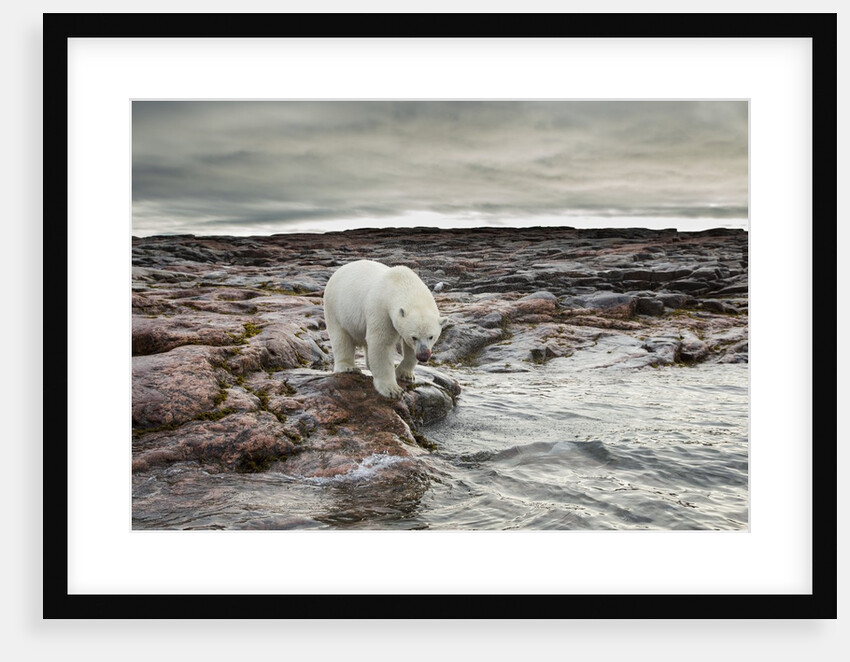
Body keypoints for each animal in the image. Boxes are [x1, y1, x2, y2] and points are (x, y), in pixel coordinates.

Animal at [322, 259, 448, 398]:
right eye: (414, 337)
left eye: (431, 337)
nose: (423, 356)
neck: (401, 283)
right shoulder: (381, 310)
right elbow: (381, 344)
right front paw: (392, 389)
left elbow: (408, 349)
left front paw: (406, 374)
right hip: (335, 308)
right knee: (341, 338)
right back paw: (348, 367)